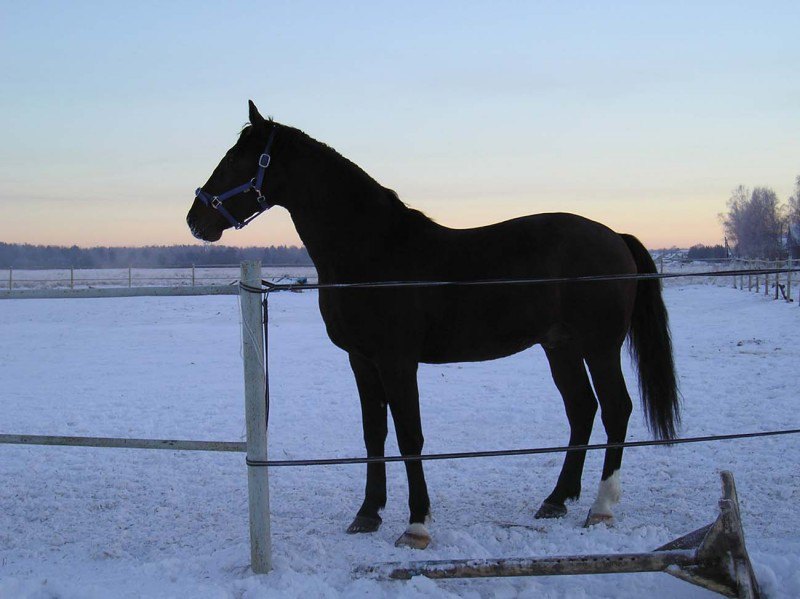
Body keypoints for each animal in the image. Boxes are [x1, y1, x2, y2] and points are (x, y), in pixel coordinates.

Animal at [184, 101, 680, 552]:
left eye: (237, 159)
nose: (195, 219)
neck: (375, 250)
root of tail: (615, 237)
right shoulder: (362, 360)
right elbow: (374, 432)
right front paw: (367, 514)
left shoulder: (398, 361)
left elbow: (410, 436)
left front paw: (416, 525)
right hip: (559, 347)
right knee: (582, 409)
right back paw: (556, 499)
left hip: (599, 346)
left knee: (615, 409)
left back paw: (601, 507)